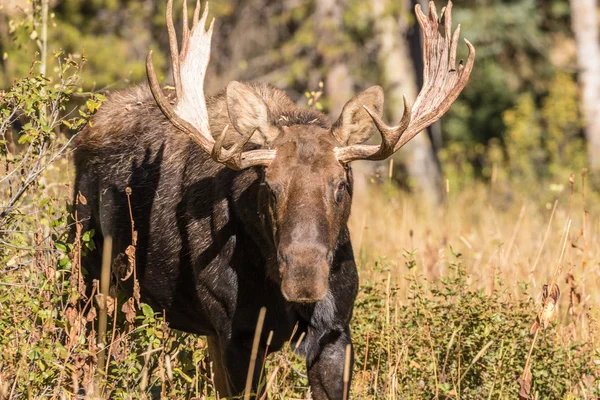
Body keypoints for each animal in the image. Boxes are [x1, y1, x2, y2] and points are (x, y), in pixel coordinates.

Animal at [71, 1, 474, 398]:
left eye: (341, 184)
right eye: (269, 185)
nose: (304, 276)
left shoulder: (335, 331)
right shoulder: (238, 334)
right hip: (92, 279)